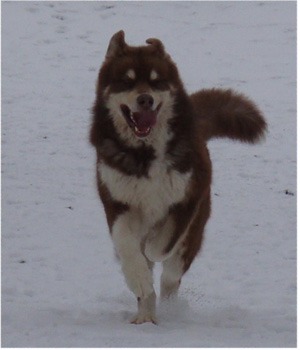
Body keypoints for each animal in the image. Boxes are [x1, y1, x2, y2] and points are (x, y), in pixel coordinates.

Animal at [89, 30, 268, 326]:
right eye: (127, 81)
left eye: (156, 80)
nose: (145, 99)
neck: (145, 154)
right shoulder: (117, 201)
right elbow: (128, 248)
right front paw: (138, 278)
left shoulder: (187, 198)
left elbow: (164, 244)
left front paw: (153, 247)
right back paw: (146, 315)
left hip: (195, 229)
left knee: (172, 275)